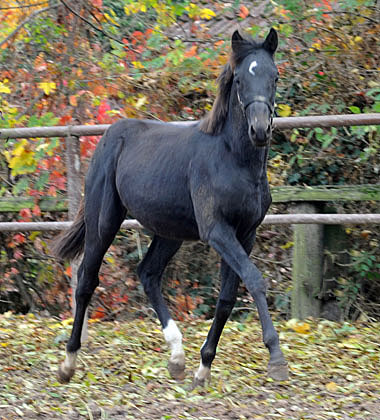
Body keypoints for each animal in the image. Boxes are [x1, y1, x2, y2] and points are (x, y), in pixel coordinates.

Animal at [53, 27, 288, 386]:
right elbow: (254, 278)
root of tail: (110, 135)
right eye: (239, 80)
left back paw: (177, 356)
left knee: (148, 273)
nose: (260, 130)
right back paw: (69, 363)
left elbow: (226, 297)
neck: (232, 158)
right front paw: (276, 358)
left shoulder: (245, 233)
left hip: (170, 232)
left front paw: (204, 368)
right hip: (104, 222)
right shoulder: (216, 230)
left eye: (274, 76)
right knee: (86, 280)